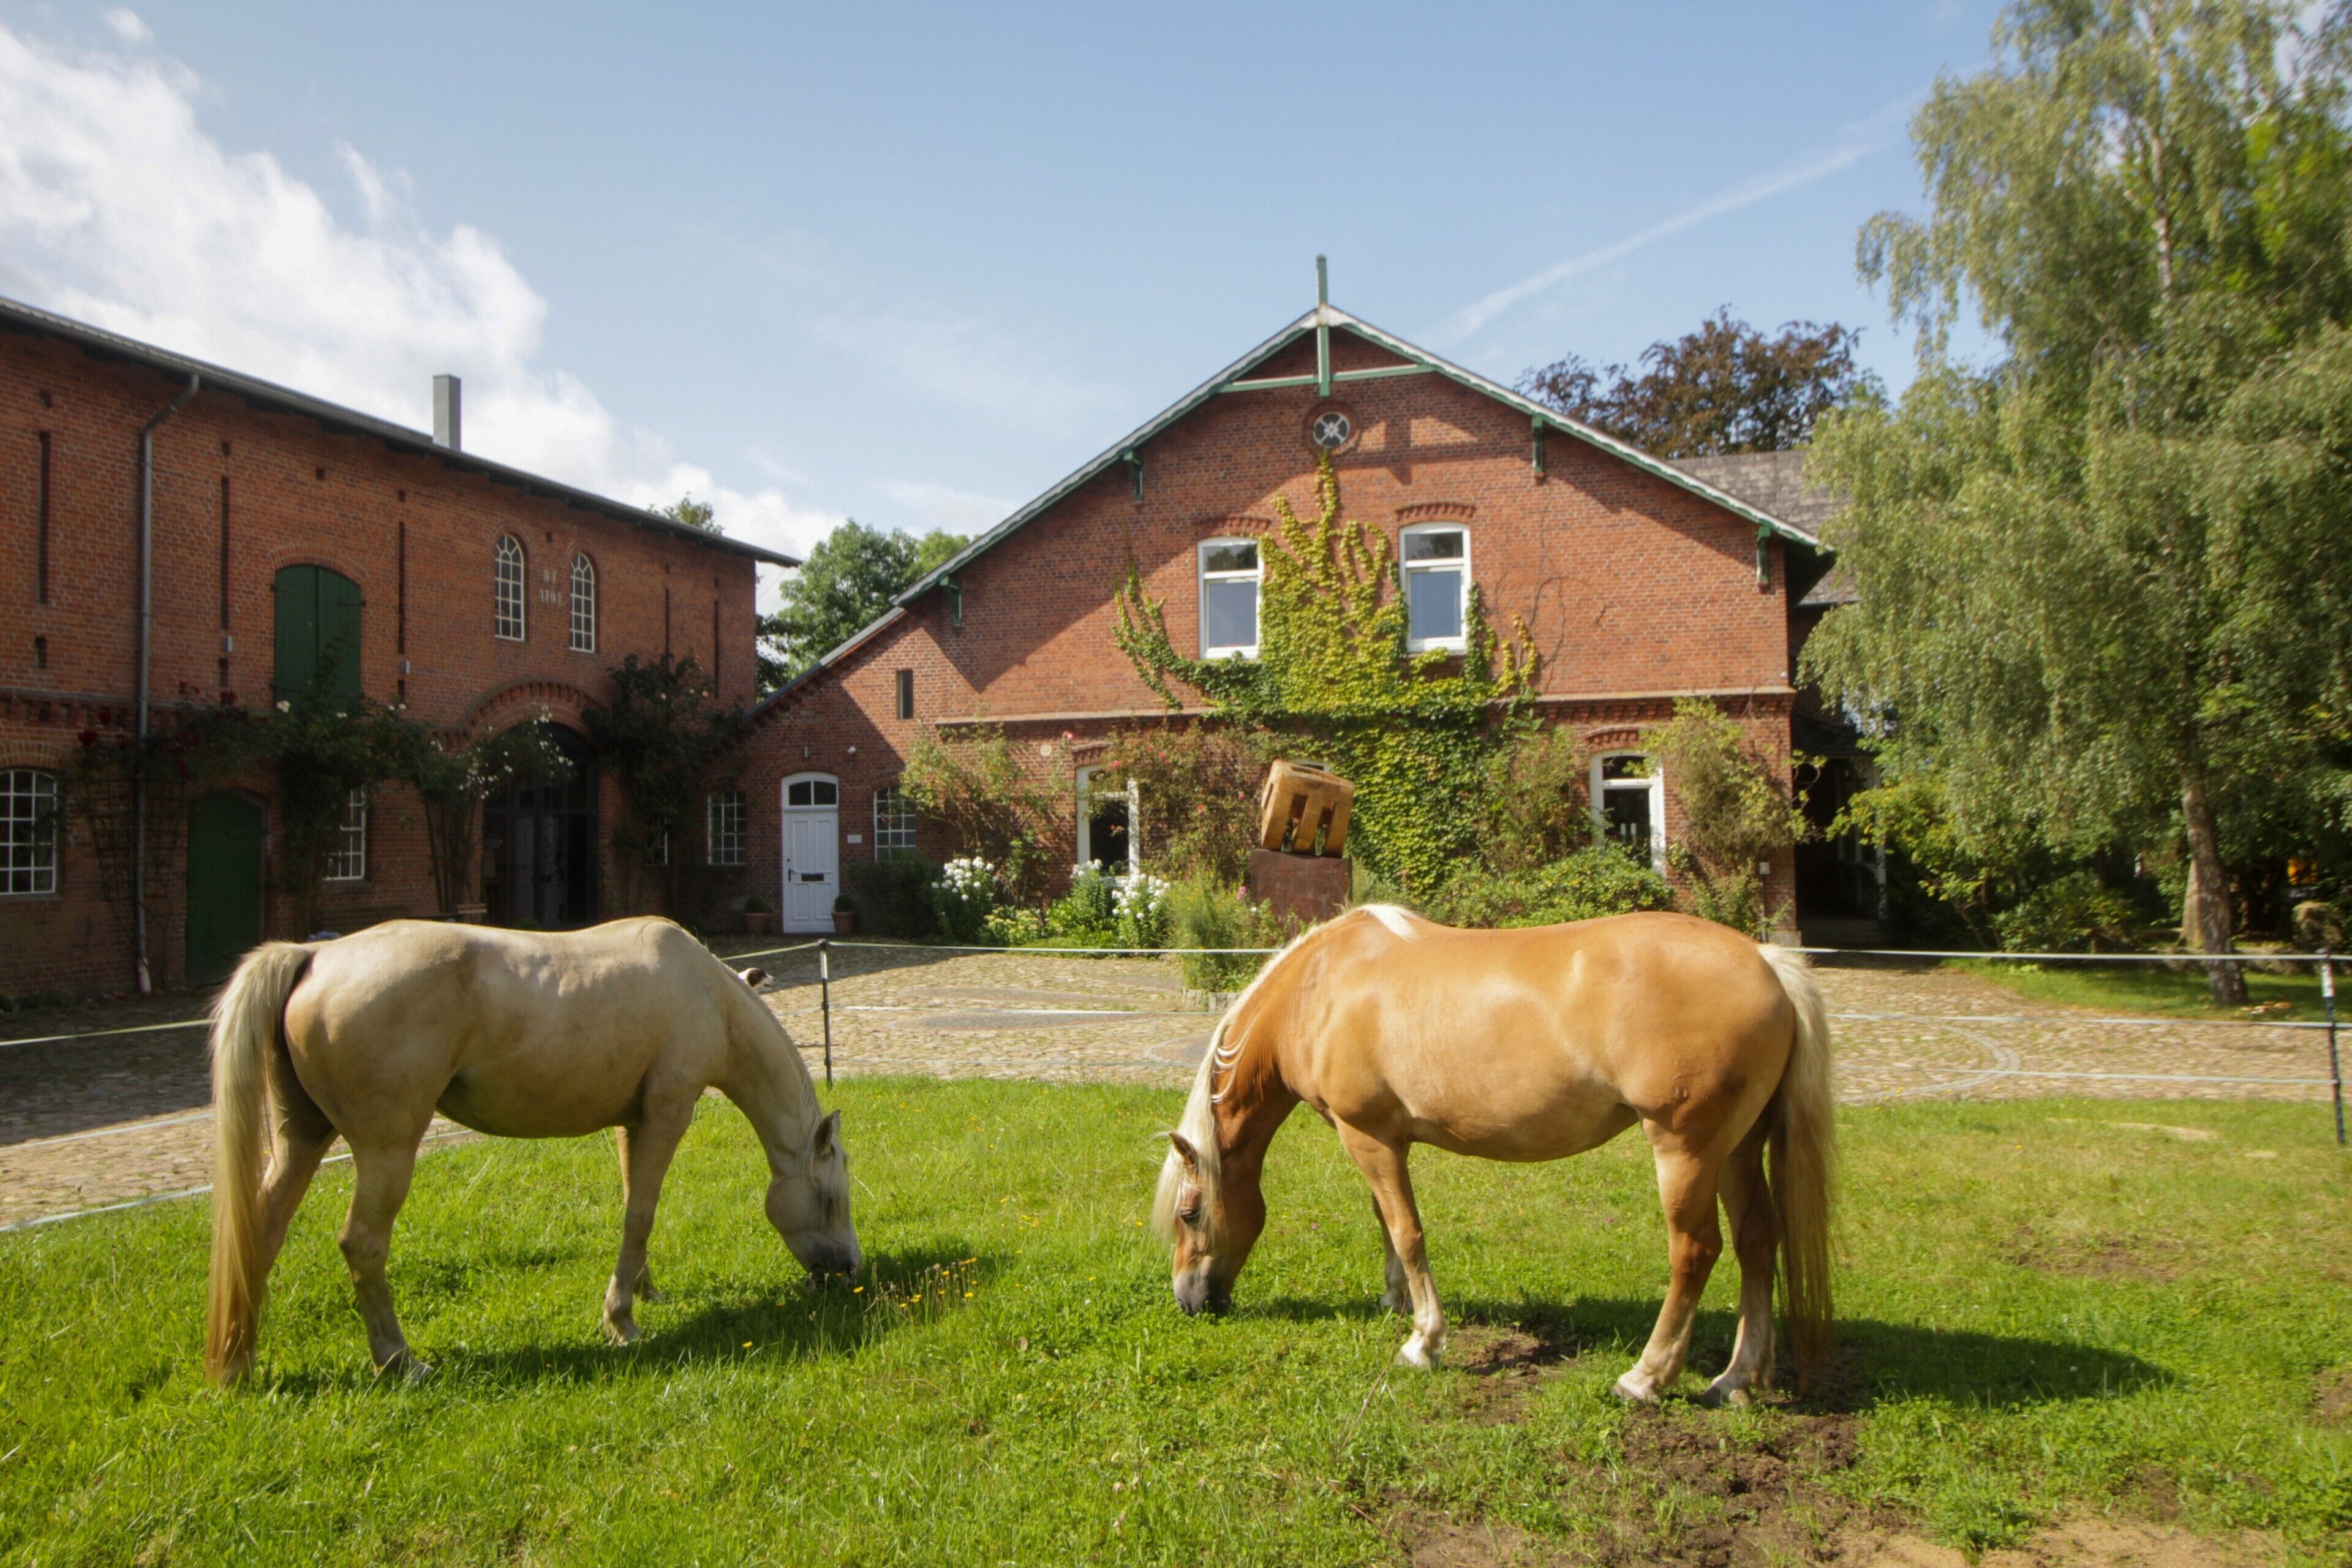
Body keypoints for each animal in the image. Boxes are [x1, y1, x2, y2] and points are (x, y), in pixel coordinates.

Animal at [204, 916, 860, 1384]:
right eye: (830, 1200)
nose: (849, 1270)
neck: (709, 997)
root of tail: (313, 956)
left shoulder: (632, 1124)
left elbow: (636, 1208)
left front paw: (645, 1292)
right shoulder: (669, 1113)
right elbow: (641, 1212)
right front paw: (622, 1322)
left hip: (301, 1137)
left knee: (259, 1233)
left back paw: (239, 1365)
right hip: (387, 1150)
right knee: (362, 1243)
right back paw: (401, 1361)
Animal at [1152, 907, 1832, 1404]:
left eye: (1190, 1213)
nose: (1187, 1301)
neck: (1319, 987)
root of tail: (1766, 961)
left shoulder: (1366, 1135)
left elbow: (1407, 1231)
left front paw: (1423, 1341)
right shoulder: (1378, 1139)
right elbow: (1386, 1222)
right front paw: (1396, 1303)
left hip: (1685, 1150)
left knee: (1696, 1251)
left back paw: (1645, 1377)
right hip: (1737, 1150)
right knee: (1756, 1242)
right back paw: (1738, 1379)